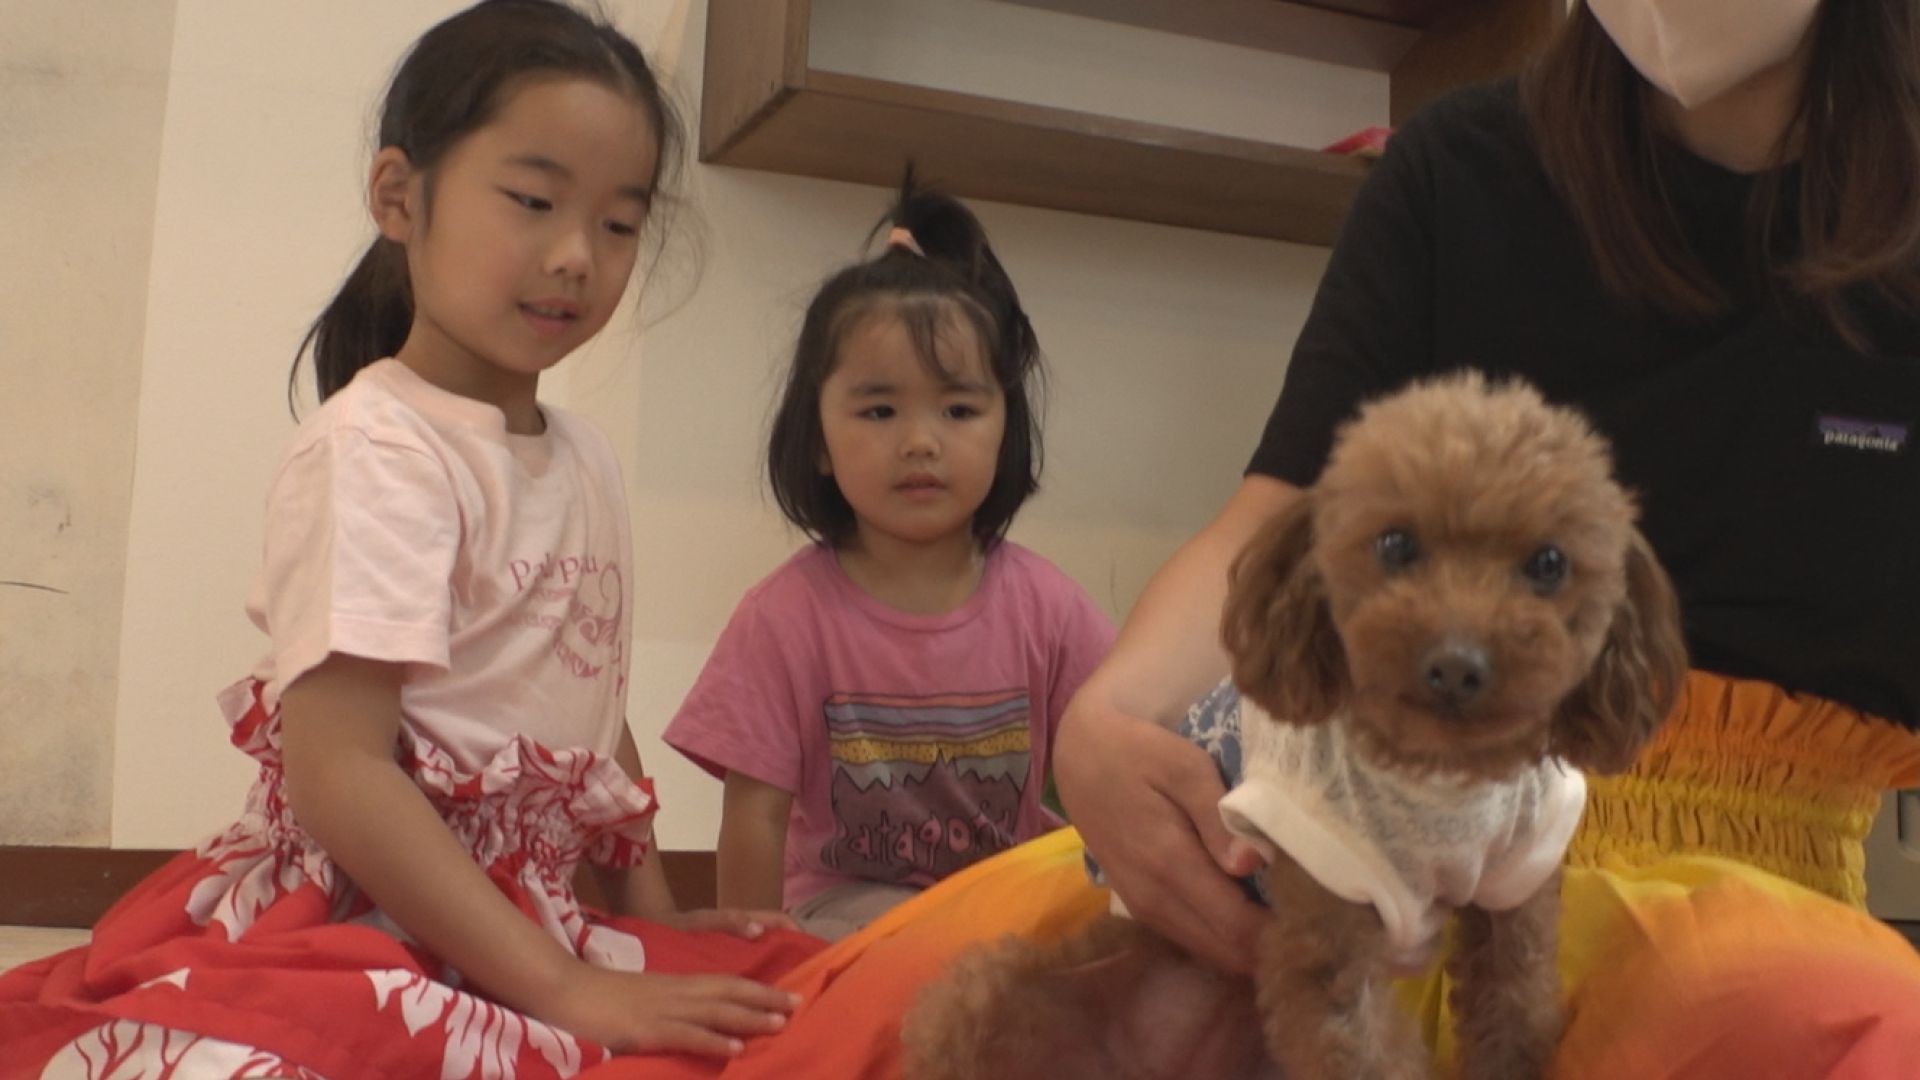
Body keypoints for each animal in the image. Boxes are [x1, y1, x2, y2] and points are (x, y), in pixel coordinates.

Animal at [902, 372, 1687, 1080]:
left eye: (1549, 562)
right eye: (1396, 545)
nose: (1457, 666)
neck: (1439, 781)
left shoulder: (1515, 894)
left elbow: (1514, 1016)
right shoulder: (1326, 913)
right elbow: (1359, 1045)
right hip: (987, 1001)